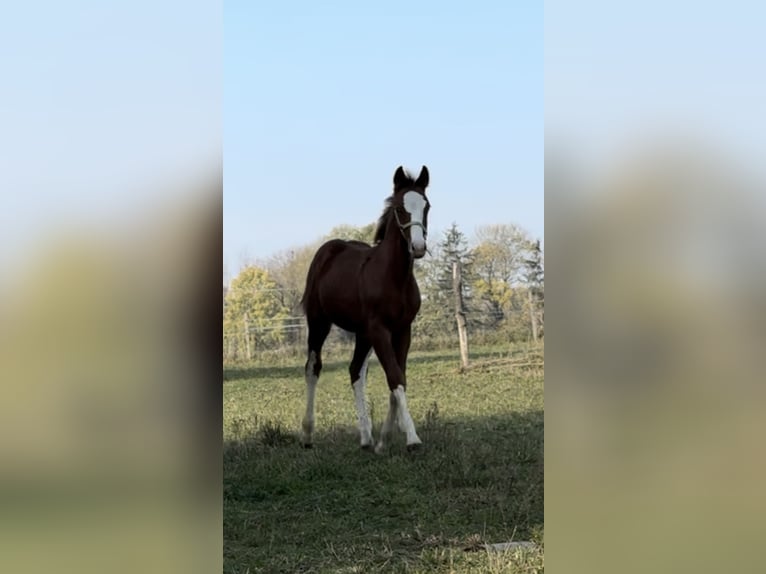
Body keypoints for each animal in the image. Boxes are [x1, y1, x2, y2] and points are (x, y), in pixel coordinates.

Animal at [300, 165, 432, 454]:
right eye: (400, 208)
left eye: (426, 206)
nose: (418, 247)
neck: (394, 277)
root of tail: (328, 249)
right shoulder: (380, 329)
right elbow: (394, 376)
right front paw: (412, 438)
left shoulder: (402, 330)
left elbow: (399, 377)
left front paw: (384, 439)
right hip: (319, 322)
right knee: (313, 368)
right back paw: (307, 434)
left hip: (362, 333)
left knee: (355, 371)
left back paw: (366, 438)